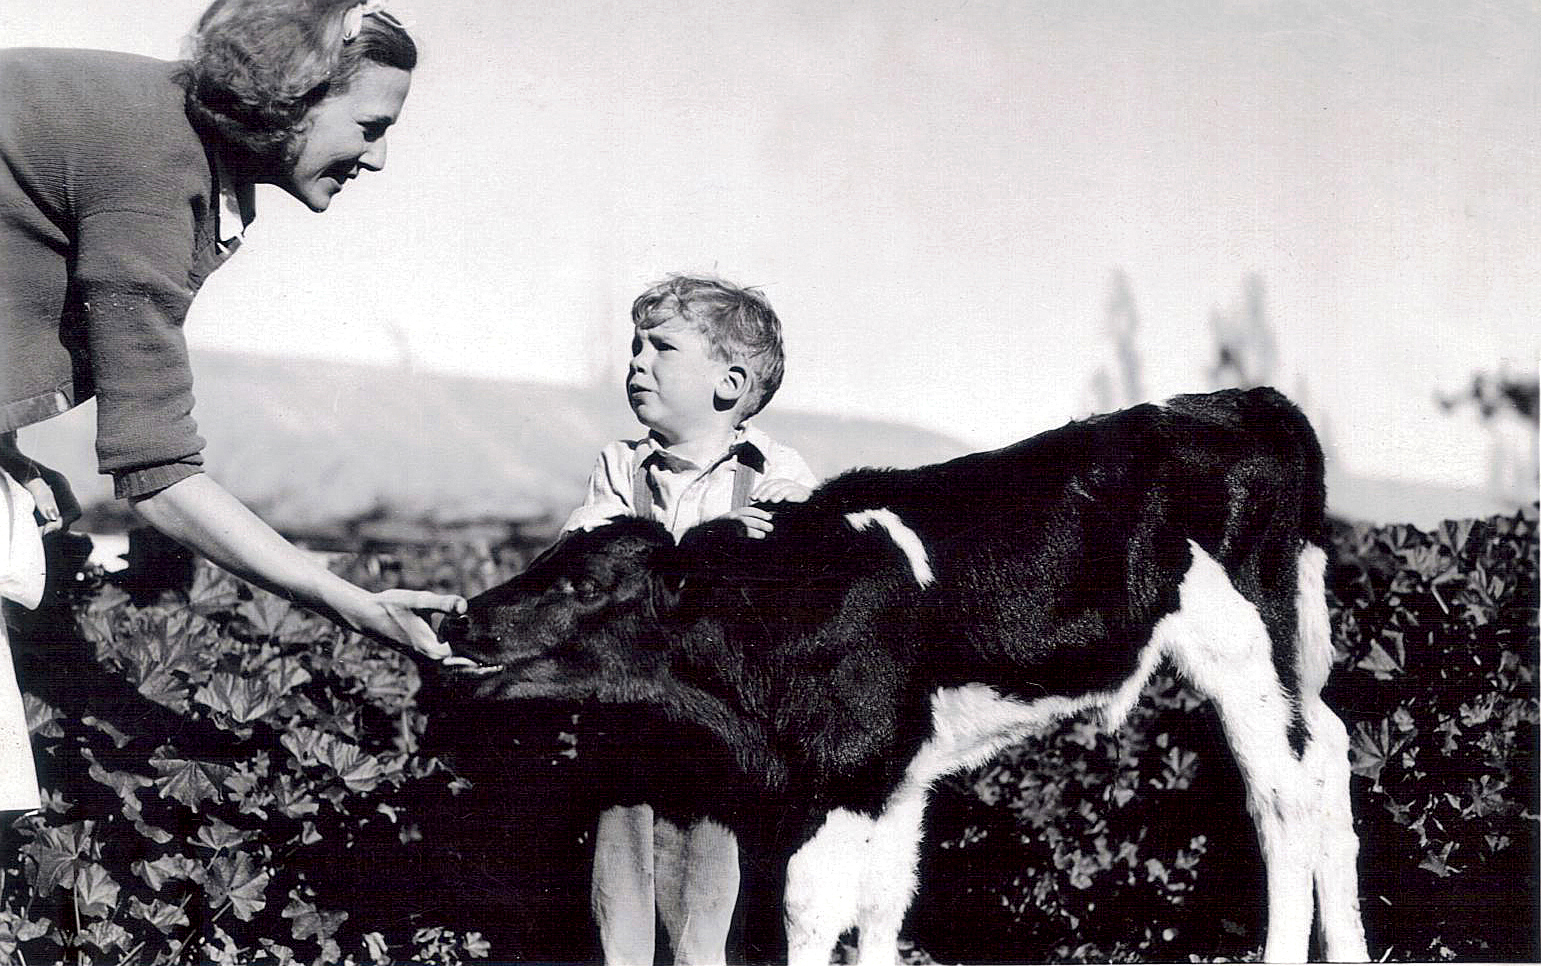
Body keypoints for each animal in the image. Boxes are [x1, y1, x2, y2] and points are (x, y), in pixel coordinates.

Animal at [446, 386, 1374, 966]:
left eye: (581, 585)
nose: (463, 617)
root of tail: (1248, 400)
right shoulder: (895, 768)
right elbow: (885, 897)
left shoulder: (850, 769)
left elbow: (812, 904)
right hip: (1289, 651)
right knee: (1328, 753)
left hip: (1241, 643)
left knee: (1282, 793)